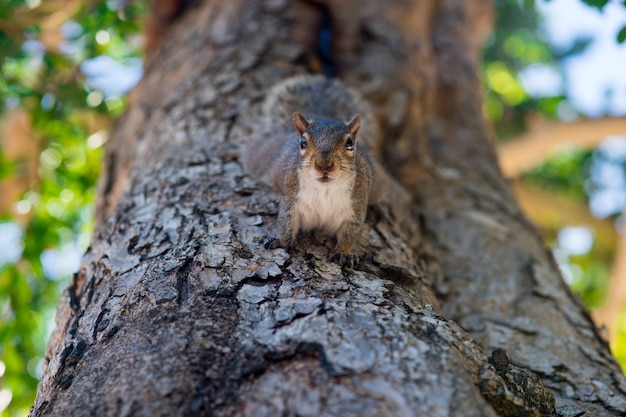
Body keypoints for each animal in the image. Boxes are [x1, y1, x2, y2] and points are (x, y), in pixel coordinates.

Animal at [241, 74, 378, 266]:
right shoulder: (292, 198)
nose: (324, 165)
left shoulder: (355, 207)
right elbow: (286, 222)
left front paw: (344, 252)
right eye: (303, 142)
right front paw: (281, 240)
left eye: (350, 144)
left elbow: (350, 233)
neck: (325, 188)